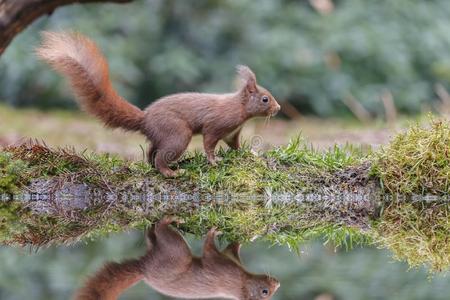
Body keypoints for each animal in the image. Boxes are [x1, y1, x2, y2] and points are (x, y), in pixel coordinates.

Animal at [36, 31, 282, 177]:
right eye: (265, 99)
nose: (278, 108)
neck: (240, 108)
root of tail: (145, 119)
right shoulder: (217, 124)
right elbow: (209, 142)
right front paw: (214, 161)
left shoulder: (233, 132)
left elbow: (235, 145)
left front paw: (250, 153)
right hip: (177, 134)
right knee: (161, 155)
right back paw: (171, 172)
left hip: (162, 135)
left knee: (152, 152)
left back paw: (158, 166)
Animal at [75, 216, 280, 300]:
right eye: (265, 292)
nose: (278, 283)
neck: (241, 281)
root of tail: (144, 268)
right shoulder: (223, 266)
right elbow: (220, 249)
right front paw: (216, 231)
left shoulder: (224, 266)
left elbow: (218, 250)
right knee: (157, 233)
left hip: (173, 251)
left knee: (157, 234)